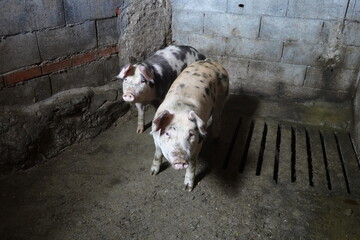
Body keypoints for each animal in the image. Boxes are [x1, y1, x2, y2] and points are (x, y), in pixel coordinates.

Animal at [150, 58, 229, 191]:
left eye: (191, 134)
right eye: (167, 133)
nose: (180, 159)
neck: (180, 110)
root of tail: (211, 61)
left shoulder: (198, 143)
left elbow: (192, 164)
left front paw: (188, 188)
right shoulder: (156, 138)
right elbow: (157, 153)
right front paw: (153, 173)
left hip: (223, 95)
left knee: (218, 116)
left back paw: (216, 138)